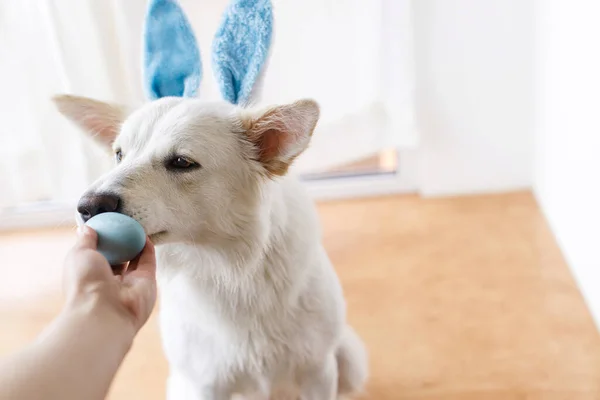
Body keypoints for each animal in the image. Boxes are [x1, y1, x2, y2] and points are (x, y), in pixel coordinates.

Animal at [55, 94, 366, 400]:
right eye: (119, 155)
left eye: (181, 162)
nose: (88, 206)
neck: (232, 270)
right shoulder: (207, 383)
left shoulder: (319, 371)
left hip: (350, 361)